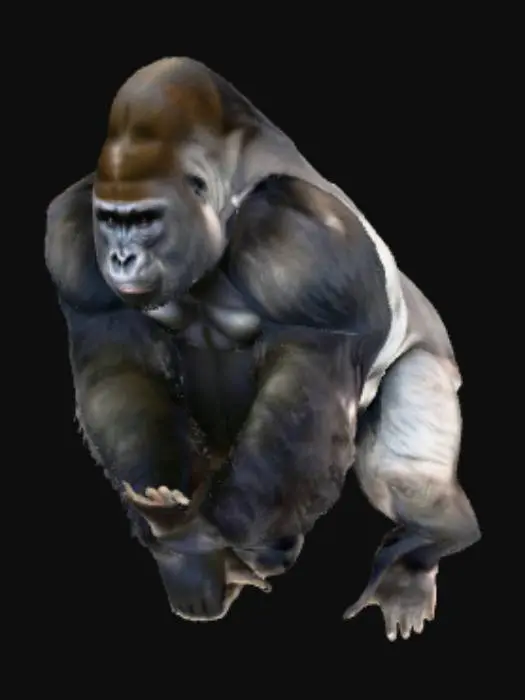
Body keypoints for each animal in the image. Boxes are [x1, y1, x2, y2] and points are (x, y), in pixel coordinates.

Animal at [45, 57, 480, 638]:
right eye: (112, 220)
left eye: (145, 220)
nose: (120, 258)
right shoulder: (73, 231)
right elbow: (117, 366)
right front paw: (183, 548)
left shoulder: (302, 235)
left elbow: (306, 382)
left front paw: (200, 535)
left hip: (432, 364)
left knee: (404, 477)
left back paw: (427, 547)